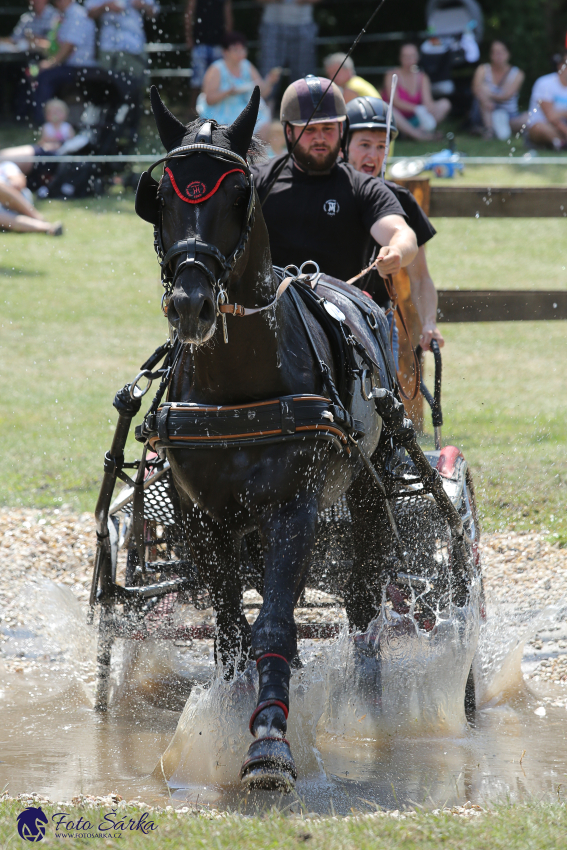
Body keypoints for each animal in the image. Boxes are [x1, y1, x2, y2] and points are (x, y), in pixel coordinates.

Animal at [136, 86, 420, 788]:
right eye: (162, 196)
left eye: (240, 195)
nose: (191, 303)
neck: (239, 384)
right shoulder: (200, 517)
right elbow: (230, 629)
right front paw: (219, 728)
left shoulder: (294, 506)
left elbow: (274, 626)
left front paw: (268, 739)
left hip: (368, 492)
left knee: (364, 603)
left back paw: (367, 710)